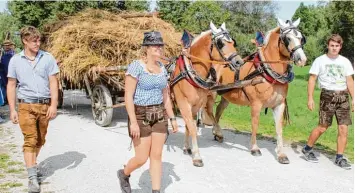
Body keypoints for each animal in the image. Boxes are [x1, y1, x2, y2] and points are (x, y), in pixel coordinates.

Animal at [170, 20, 245, 166]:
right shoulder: (183, 104)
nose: (239, 61)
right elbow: (192, 128)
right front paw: (197, 156)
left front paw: (187, 148)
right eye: (220, 43)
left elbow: (189, 126)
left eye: (233, 42)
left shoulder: (195, 105)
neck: (190, 72)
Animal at [210, 18, 308, 164]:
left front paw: (281, 154)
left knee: (218, 111)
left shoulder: (279, 105)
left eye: (301, 38)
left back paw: (217, 133)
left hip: (226, 96)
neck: (266, 72)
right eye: (288, 38)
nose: (302, 59)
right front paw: (255, 148)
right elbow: (255, 124)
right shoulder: (256, 104)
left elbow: (279, 129)